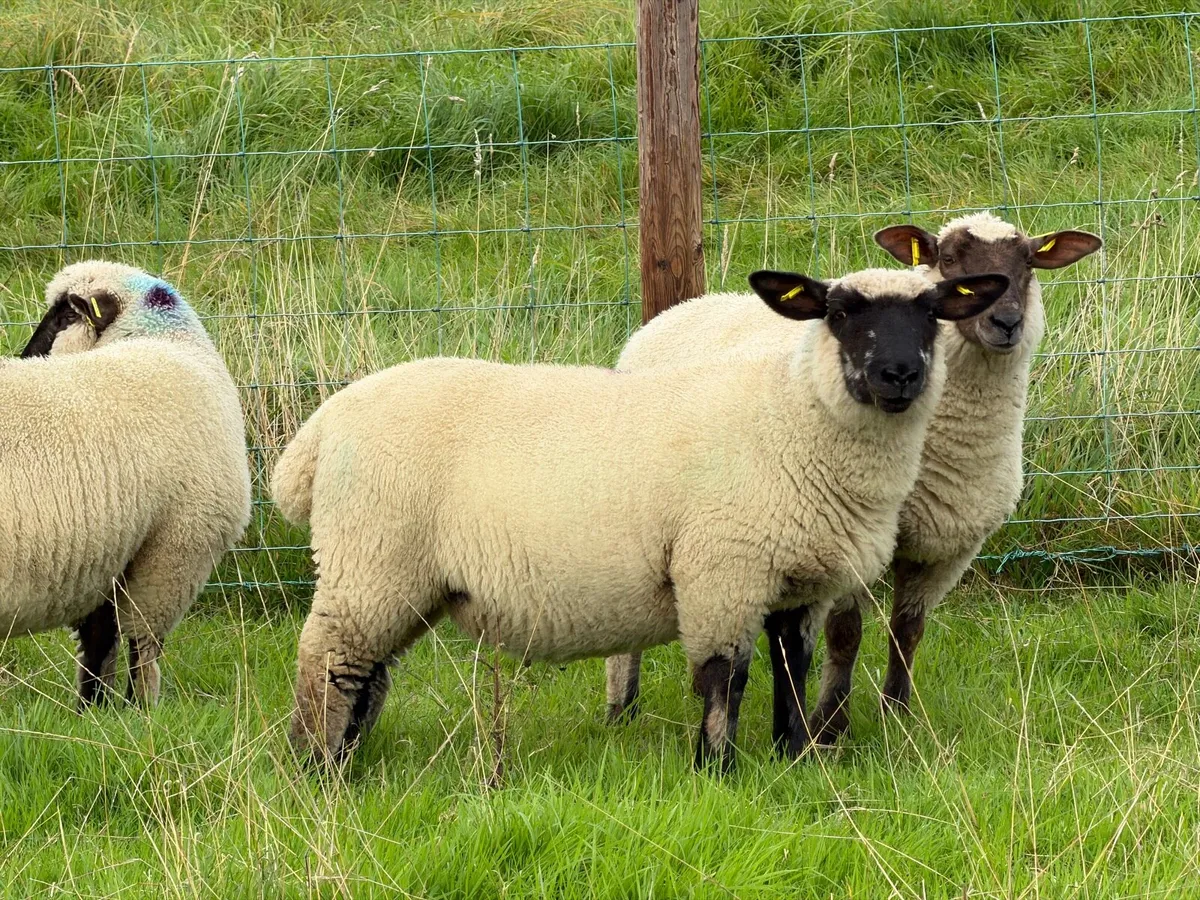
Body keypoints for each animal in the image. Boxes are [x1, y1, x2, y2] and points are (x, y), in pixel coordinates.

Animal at [2, 261, 252, 708]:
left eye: (64, 316)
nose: (26, 356)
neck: (164, 340)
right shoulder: (167, 551)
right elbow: (124, 643)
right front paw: (126, 708)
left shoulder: (138, 553)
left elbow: (114, 641)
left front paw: (108, 711)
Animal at [273, 266, 1009, 770]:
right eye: (839, 311)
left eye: (933, 313)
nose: (899, 373)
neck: (792, 416)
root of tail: (318, 433)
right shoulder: (721, 569)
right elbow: (724, 678)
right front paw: (717, 769)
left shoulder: (799, 581)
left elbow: (792, 669)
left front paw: (792, 756)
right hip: (370, 558)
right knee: (328, 660)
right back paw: (316, 767)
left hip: (400, 576)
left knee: (368, 671)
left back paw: (348, 756)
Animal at [602, 213, 1101, 748]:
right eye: (947, 259)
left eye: (1028, 262)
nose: (1006, 323)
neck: (949, 444)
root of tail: (681, 308)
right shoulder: (851, 540)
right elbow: (845, 634)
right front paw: (830, 726)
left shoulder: (945, 552)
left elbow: (907, 631)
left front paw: (896, 715)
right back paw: (622, 709)